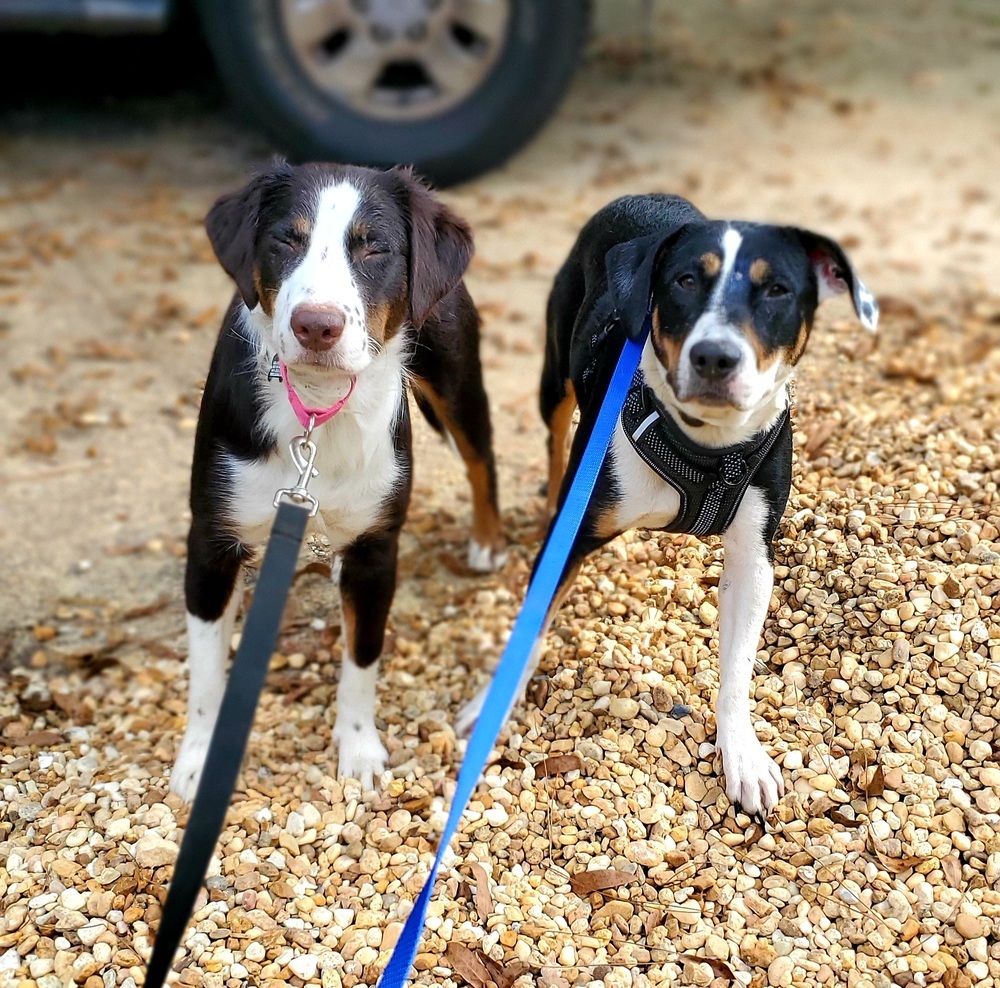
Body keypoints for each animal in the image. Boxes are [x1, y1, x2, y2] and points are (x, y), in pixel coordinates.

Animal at [169, 158, 508, 800]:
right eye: (286, 240)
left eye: (374, 248)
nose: (316, 326)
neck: (317, 412)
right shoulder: (211, 542)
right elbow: (204, 676)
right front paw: (200, 759)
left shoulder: (376, 548)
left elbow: (362, 657)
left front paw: (359, 750)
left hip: (456, 375)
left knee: (482, 458)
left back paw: (486, 540)